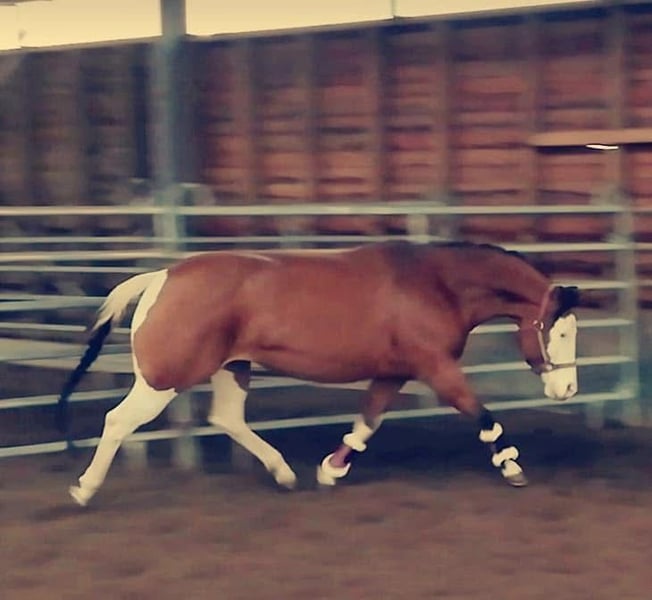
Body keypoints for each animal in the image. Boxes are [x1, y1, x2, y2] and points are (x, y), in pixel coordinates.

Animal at [57, 240, 579, 506]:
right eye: (557, 331)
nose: (568, 389)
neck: (435, 283)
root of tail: (162, 277)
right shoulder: (435, 366)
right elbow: (482, 416)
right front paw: (512, 467)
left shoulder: (393, 373)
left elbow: (366, 424)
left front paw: (330, 471)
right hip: (164, 377)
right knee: (117, 421)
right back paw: (84, 489)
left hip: (233, 367)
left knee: (227, 419)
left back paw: (284, 474)